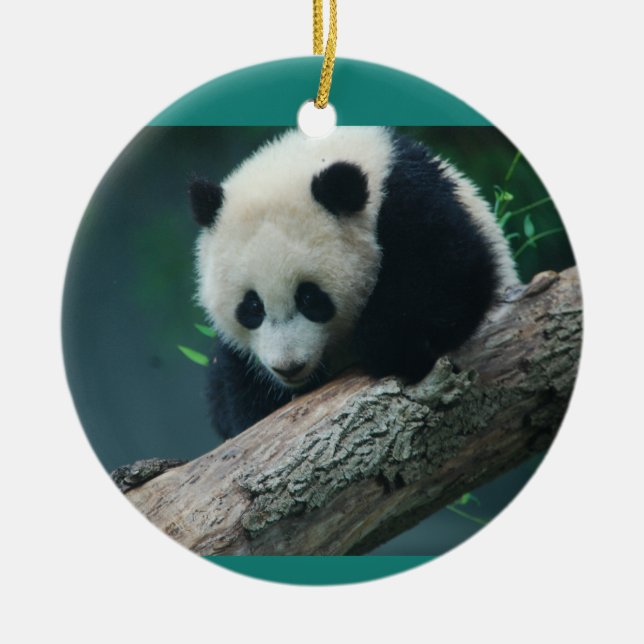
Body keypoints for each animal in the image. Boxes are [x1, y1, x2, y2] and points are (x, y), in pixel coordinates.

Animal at [189, 127, 518, 439]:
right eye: (252, 306)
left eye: (309, 298)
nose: (289, 367)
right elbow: (231, 388)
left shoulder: (412, 199)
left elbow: (449, 270)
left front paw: (390, 345)